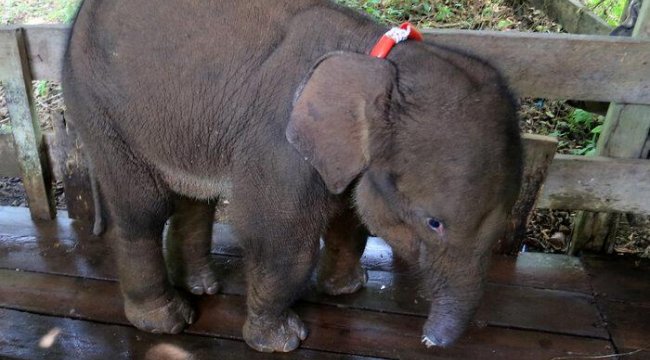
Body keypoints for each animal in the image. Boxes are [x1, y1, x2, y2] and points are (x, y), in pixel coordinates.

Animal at [63, 0, 520, 352]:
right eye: (433, 223)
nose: (427, 341)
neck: (378, 59)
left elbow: (350, 218)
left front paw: (347, 289)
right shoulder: (278, 144)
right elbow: (278, 236)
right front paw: (284, 341)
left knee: (196, 199)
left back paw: (202, 287)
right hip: (99, 108)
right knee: (143, 209)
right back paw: (167, 320)